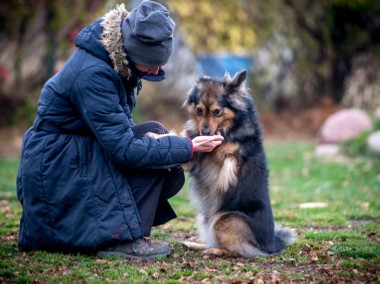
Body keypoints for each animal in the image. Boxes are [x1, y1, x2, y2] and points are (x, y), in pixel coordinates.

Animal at [180, 69, 296, 258]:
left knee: (235, 251)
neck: (232, 126)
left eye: (217, 112)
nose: (205, 132)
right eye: (199, 110)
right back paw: (193, 244)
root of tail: (271, 245)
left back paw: (212, 250)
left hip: (225, 218)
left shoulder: (224, 162)